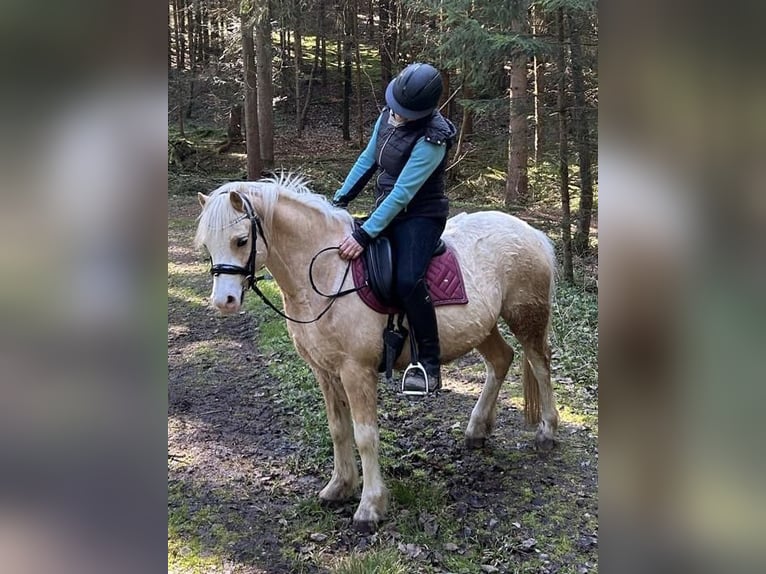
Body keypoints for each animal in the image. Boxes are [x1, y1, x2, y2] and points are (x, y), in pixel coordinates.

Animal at [194, 174, 559, 531]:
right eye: (208, 246)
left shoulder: (356, 370)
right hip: (482, 326)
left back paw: (547, 431)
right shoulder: (324, 370)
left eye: (241, 240)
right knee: (501, 360)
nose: (223, 302)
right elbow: (338, 428)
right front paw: (339, 487)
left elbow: (365, 435)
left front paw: (370, 507)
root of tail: (532, 232)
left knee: (540, 365)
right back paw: (477, 429)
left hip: (526, 317)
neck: (326, 273)